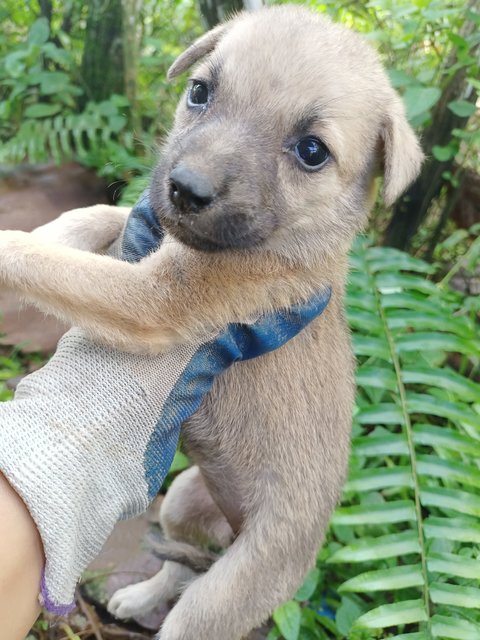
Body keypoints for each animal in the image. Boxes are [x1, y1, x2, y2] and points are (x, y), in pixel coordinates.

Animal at [0, 6, 420, 640]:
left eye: (312, 151)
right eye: (200, 92)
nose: (184, 189)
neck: (297, 241)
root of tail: (233, 526)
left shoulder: (154, 300)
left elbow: (54, 262)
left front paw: (9, 246)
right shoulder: (150, 230)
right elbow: (94, 217)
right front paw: (50, 229)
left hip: (221, 599)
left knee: (191, 599)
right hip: (181, 499)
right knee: (177, 567)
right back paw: (137, 596)